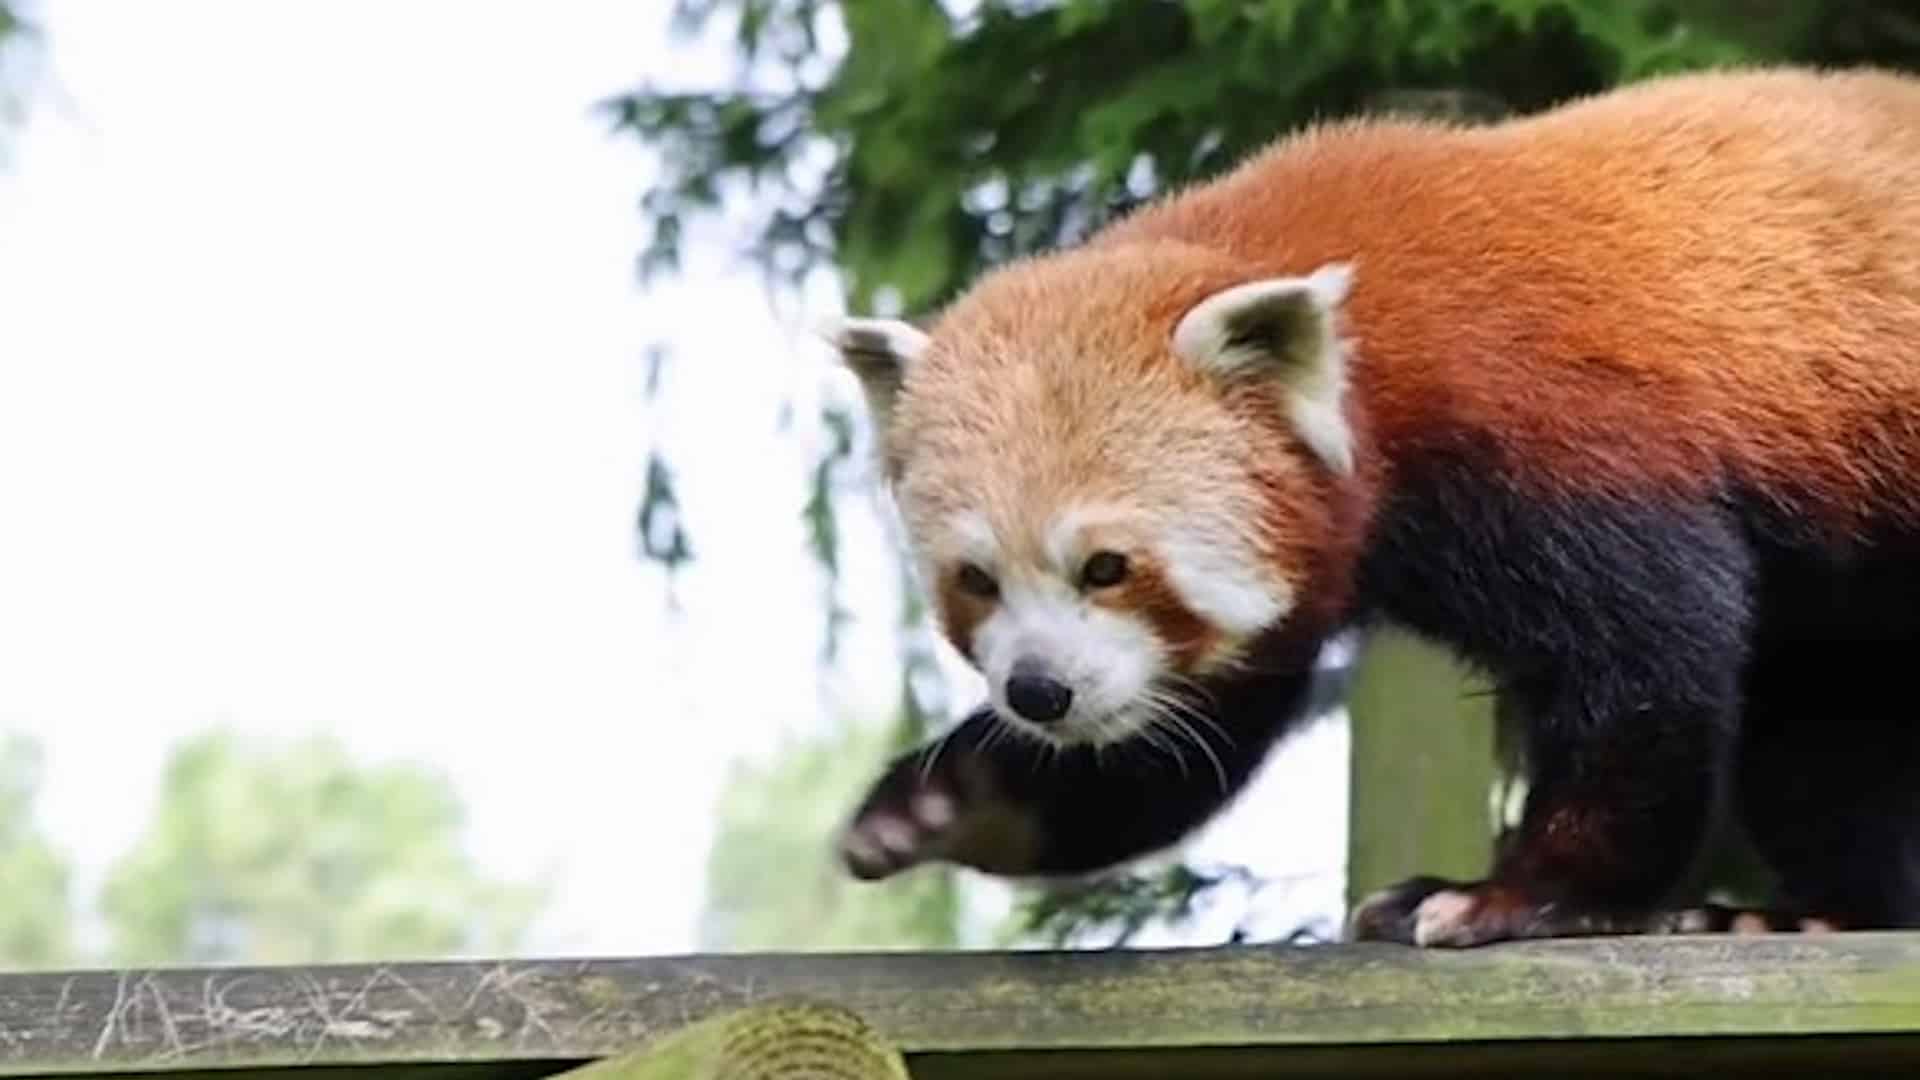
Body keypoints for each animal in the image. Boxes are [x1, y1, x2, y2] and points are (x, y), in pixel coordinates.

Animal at [817, 67, 1920, 941]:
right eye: (977, 581)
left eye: (1106, 566)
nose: (1036, 691)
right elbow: (1176, 749)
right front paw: (950, 804)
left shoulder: (1564, 437)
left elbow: (1649, 663)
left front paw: (1520, 896)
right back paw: (1822, 910)